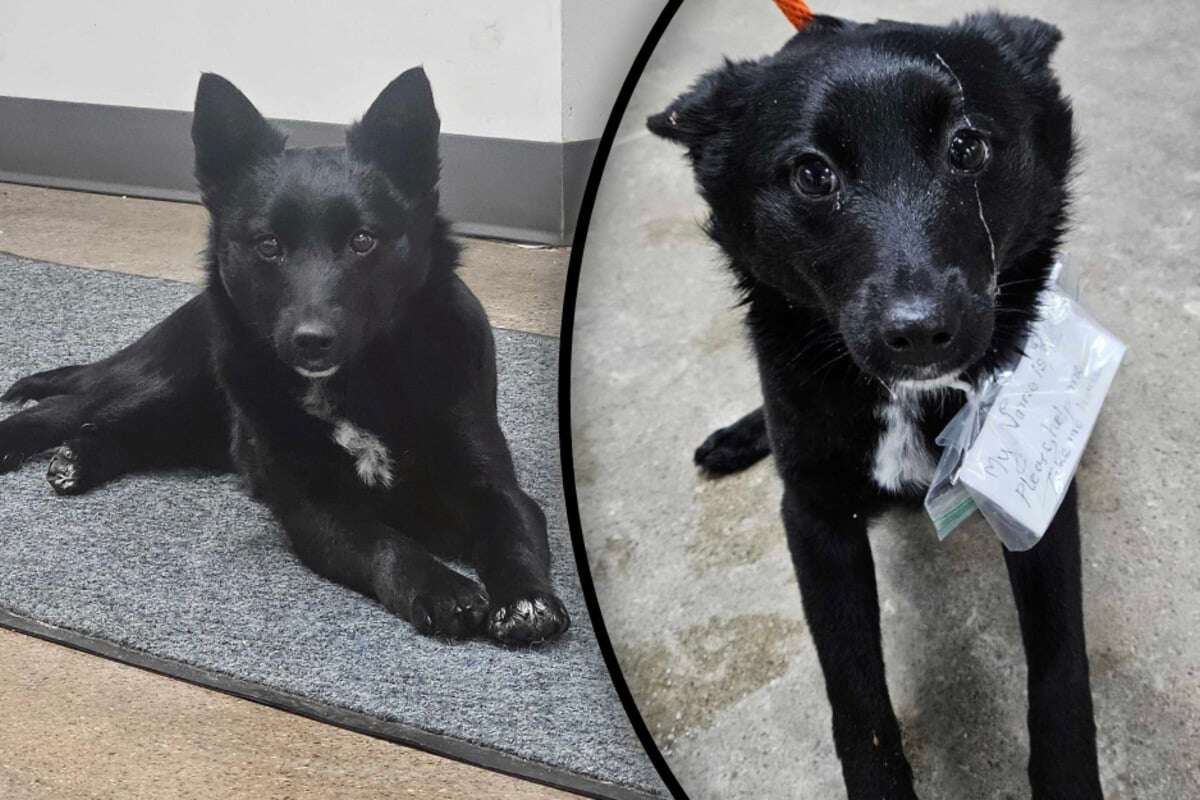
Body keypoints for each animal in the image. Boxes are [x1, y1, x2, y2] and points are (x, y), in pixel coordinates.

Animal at [0, 65, 568, 647]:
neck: (361, 380)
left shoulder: (493, 484)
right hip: (176, 381)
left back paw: (82, 457)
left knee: (122, 430)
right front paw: (441, 587)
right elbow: (384, 542)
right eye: (268, 245)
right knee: (68, 409)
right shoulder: (314, 508)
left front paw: (526, 599)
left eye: (363, 240)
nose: (310, 340)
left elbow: (512, 530)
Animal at [652, 10, 1099, 800]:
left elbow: (1061, 672)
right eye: (812, 174)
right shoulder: (815, 517)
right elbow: (858, 703)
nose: (919, 330)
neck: (912, 398)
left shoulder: (1035, 510)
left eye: (968, 146)